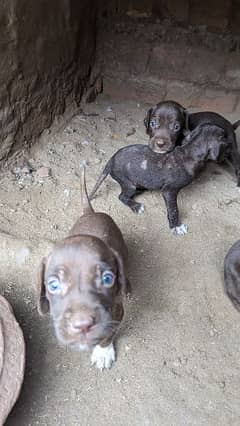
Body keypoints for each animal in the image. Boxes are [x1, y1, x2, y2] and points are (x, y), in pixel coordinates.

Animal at [36, 166, 129, 370]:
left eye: (107, 279)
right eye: (53, 285)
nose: (82, 325)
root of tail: (90, 212)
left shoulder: (117, 313)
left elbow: (108, 335)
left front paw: (103, 352)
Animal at [89, 123, 227, 236]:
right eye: (225, 140)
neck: (190, 152)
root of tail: (111, 160)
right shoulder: (169, 191)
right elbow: (174, 210)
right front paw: (176, 227)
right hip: (128, 184)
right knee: (122, 196)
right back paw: (136, 206)